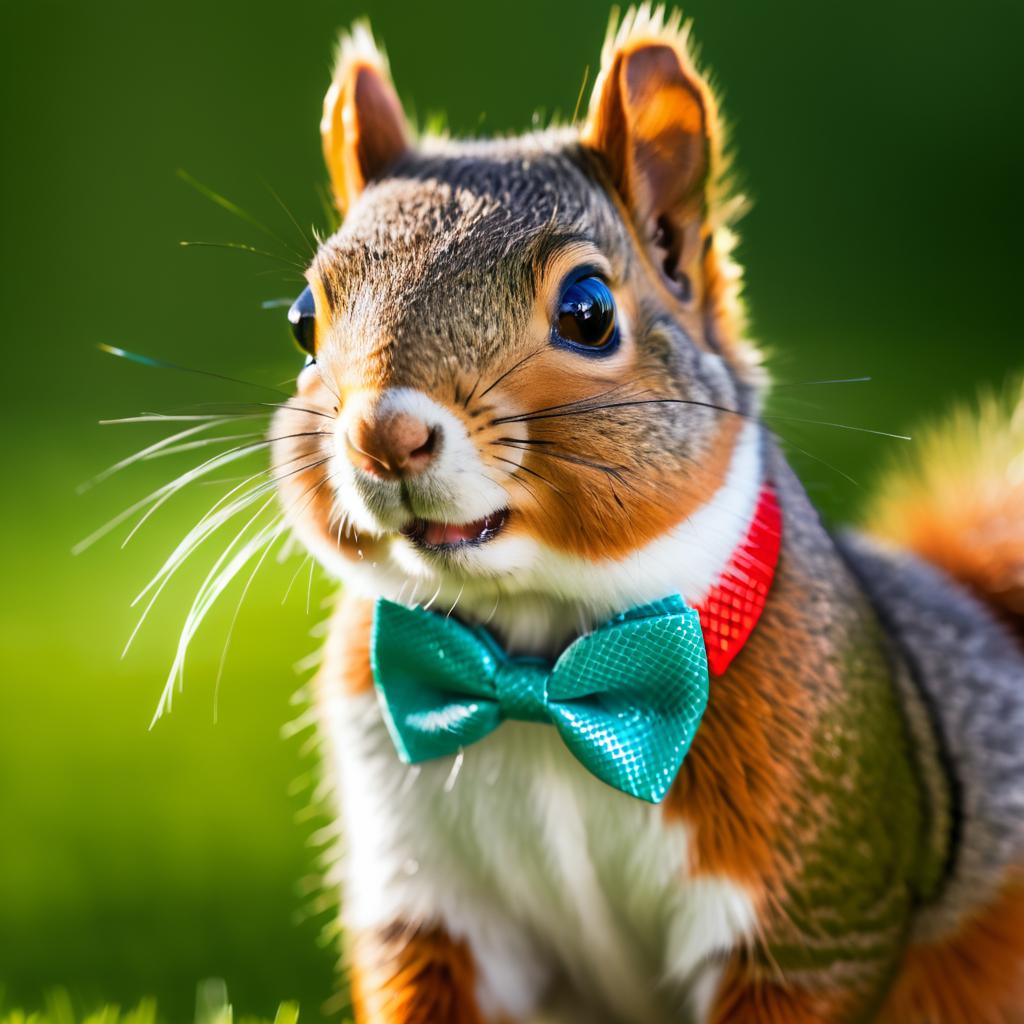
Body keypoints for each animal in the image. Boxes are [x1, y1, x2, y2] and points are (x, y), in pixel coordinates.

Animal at [266, 8, 1024, 1024]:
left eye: (588, 312)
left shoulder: (810, 918)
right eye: (303, 320)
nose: (384, 435)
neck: (538, 673)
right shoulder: (423, 897)